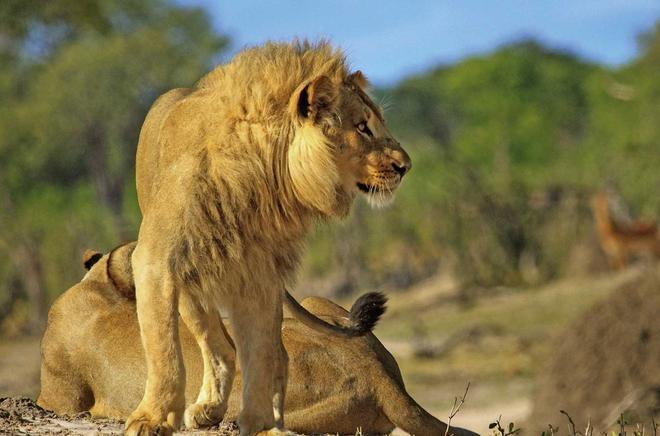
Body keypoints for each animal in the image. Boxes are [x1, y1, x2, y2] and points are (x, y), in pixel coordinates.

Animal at [127, 39, 410, 434]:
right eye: (363, 128)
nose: (406, 166)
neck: (261, 173)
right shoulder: (156, 261)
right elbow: (163, 349)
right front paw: (152, 418)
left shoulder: (259, 274)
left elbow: (259, 354)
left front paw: (260, 423)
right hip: (192, 284)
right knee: (217, 345)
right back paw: (208, 408)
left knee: (276, 354)